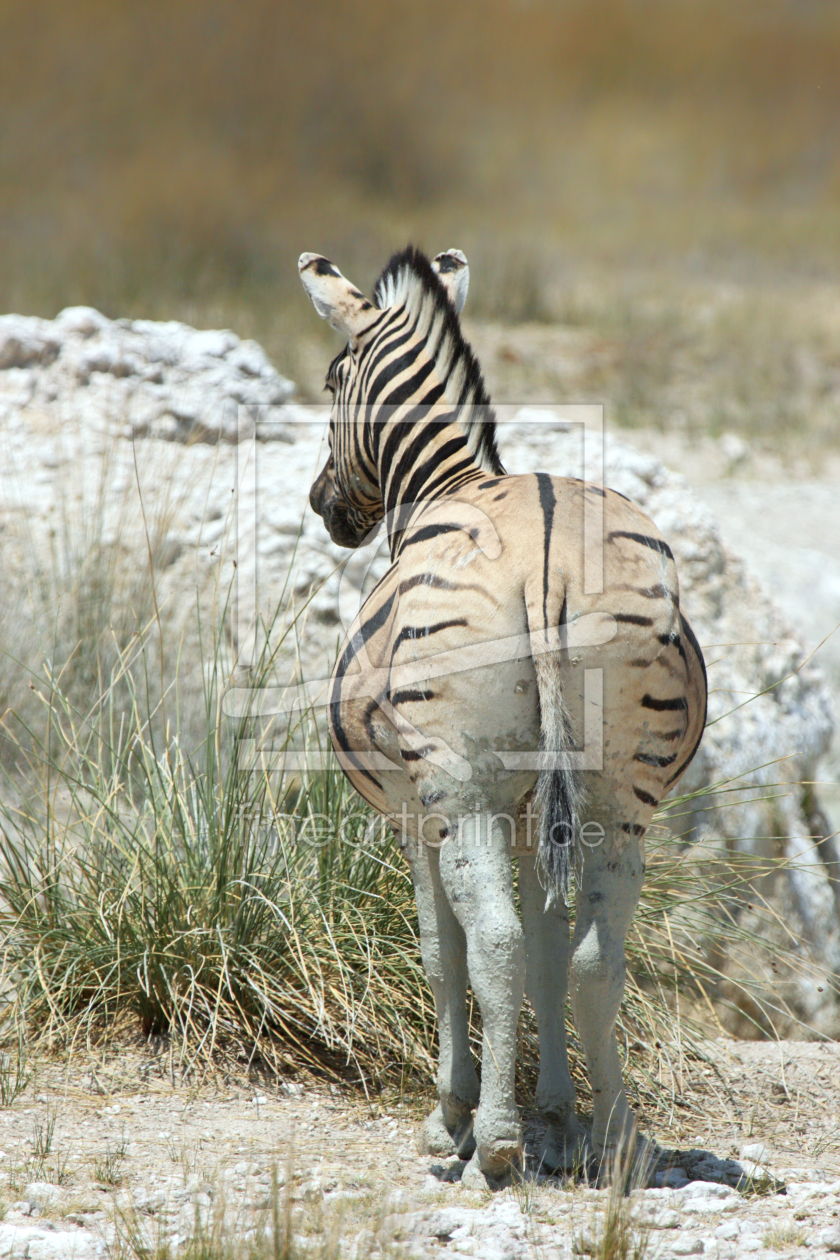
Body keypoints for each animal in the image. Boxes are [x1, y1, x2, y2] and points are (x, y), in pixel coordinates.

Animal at [298, 243, 705, 1179]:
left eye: (333, 378)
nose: (321, 506)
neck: (450, 479)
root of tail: (550, 557)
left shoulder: (417, 815)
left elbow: (441, 954)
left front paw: (455, 1114)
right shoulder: (534, 819)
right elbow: (552, 952)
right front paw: (556, 1113)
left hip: (465, 791)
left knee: (491, 942)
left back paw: (494, 1143)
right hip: (617, 800)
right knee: (596, 957)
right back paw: (616, 1133)